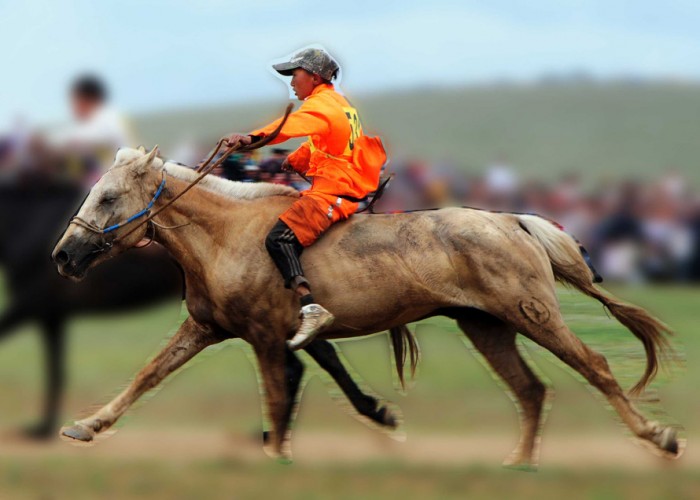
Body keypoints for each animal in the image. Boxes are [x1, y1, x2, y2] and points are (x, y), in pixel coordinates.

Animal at [52, 146, 680, 466]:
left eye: (108, 196)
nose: (63, 255)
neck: (227, 234)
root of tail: (513, 221)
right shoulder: (207, 328)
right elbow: (147, 375)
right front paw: (87, 425)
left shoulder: (265, 337)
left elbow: (278, 396)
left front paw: (277, 457)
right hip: (487, 327)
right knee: (530, 390)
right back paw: (518, 464)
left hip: (533, 315)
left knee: (594, 367)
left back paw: (660, 437)